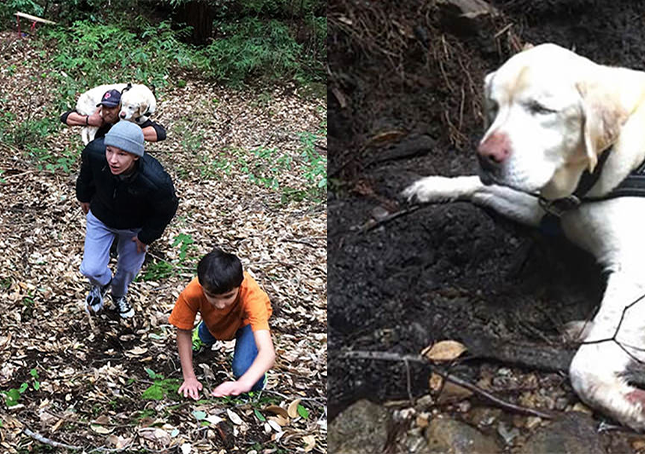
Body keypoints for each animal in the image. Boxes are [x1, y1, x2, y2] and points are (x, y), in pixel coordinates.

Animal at [402, 44, 645, 430]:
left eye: (541, 110)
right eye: (494, 107)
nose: (486, 155)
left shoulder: (635, 269)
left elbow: (584, 368)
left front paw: (628, 404)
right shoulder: (539, 204)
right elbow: (478, 185)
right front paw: (435, 185)